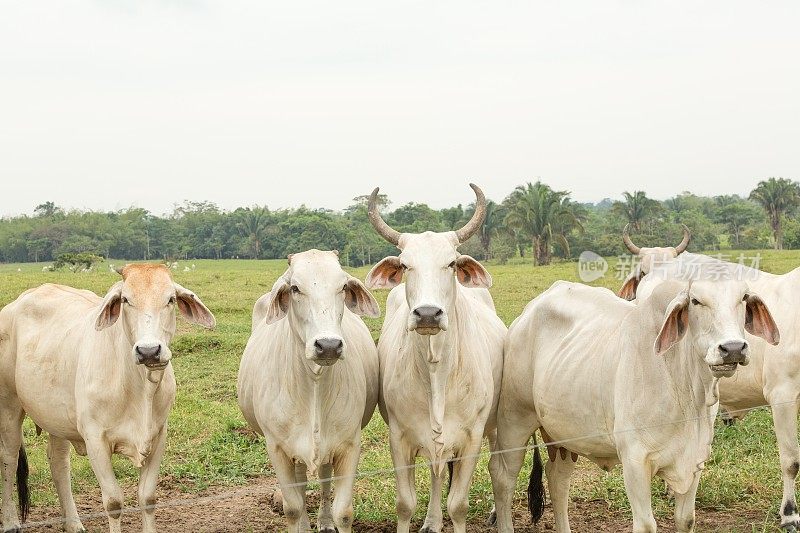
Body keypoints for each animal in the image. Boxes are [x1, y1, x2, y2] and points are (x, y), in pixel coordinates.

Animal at [0, 262, 216, 532]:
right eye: (125, 300)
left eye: (171, 299)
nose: (149, 351)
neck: (139, 388)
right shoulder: (95, 439)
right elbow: (113, 502)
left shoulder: (159, 435)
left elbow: (148, 498)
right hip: (9, 406)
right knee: (8, 458)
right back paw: (10, 522)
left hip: (56, 417)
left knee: (58, 463)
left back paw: (73, 523)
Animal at [238, 249, 382, 532]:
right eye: (295, 288)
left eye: (343, 286)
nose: (328, 345)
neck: (313, 383)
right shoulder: (277, 447)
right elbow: (292, 507)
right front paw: (299, 521)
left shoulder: (349, 444)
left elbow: (344, 511)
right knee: (300, 483)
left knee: (324, 479)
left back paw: (323, 522)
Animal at [366, 184, 504, 532]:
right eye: (405, 266)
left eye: (452, 264)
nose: (428, 313)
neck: (436, 370)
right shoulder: (400, 437)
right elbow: (405, 504)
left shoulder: (471, 438)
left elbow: (459, 505)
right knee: (435, 473)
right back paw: (431, 520)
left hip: (497, 424)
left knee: (500, 464)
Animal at [490, 276, 780, 528]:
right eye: (696, 301)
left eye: (743, 298)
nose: (732, 348)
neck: (685, 389)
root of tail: (526, 314)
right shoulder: (635, 461)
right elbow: (645, 524)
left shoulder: (695, 460)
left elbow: (686, 519)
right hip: (514, 420)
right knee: (504, 477)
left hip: (564, 435)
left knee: (558, 480)